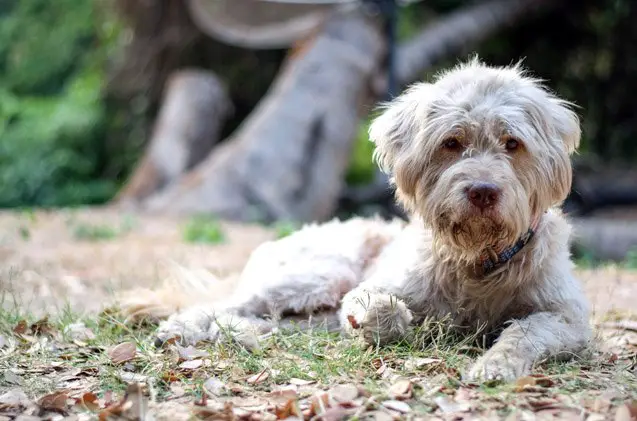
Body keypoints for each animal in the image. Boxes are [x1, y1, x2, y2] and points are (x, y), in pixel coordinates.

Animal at [145, 57, 592, 382]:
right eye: (452, 142)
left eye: (512, 144)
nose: (482, 191)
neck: (478, 262)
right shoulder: (371, 289)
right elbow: (387, 310)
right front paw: (390, 324)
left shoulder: (568, 319)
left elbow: (524, 333)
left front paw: (496, 365)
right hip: (320, 274)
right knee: (225, 304)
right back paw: (181, 328)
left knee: (261, 319)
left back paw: (245, 333)